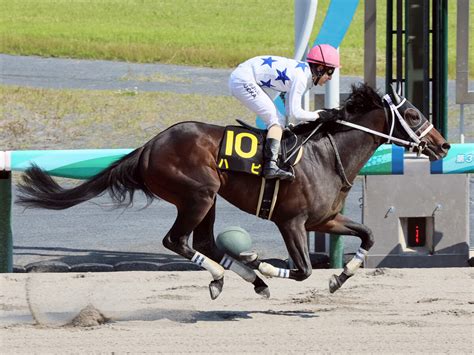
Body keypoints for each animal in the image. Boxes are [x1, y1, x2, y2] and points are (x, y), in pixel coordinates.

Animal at [17, 83, 448, 300]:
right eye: (413, 114)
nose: (443, 145)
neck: (327, 155)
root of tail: (149, 146)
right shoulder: (291, 222)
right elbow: (303, 270)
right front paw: (268, 266)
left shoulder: (325, 219)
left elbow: (369, 236)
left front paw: (339, 278)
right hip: (198, 194)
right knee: (176, 240)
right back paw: (238, 275)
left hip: (205, 199)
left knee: (204, 242)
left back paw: (243, 276)